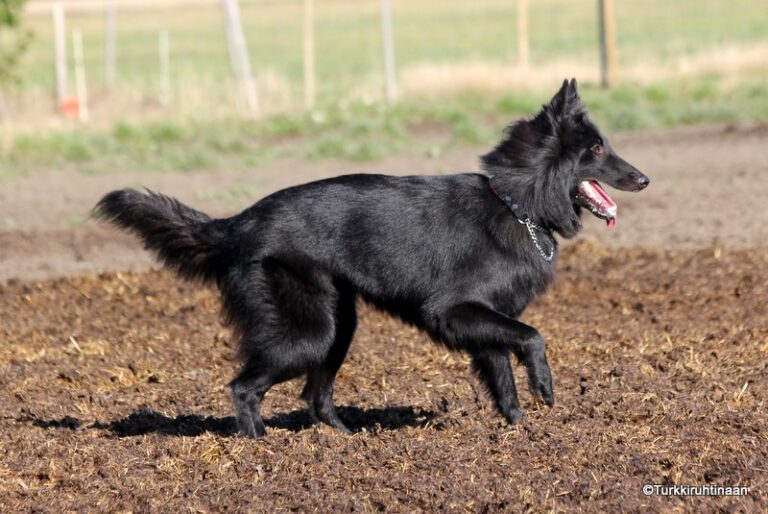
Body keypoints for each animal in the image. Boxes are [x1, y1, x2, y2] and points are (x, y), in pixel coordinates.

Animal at [96, 78, 648, 434]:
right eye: (597, 149)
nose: (644, 179)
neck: (517, 203)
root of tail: (238, 222)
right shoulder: (456, 311)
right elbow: (532, 338)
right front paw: (545, 388)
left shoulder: (486, 320)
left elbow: (501, 375)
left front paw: (519, 428)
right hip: (309, 332)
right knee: (244, 388)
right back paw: (261, 447)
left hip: (339, 327)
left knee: (315, 398)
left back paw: (345, 443)